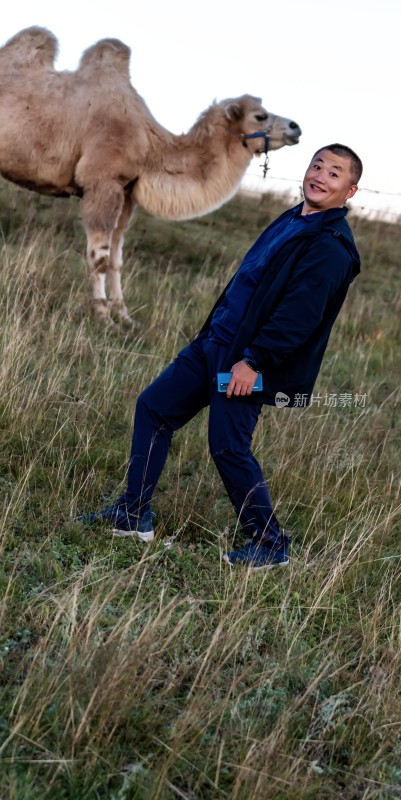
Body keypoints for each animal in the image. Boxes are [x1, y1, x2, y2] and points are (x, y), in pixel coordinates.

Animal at [0, 27, 300, 328]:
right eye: (260, 116)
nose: (295, 127)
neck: (150, 145)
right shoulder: (102, 182)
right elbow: (100, 257)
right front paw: (103, 316)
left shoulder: (126, 191)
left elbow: (116, 259)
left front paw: (125, 317)